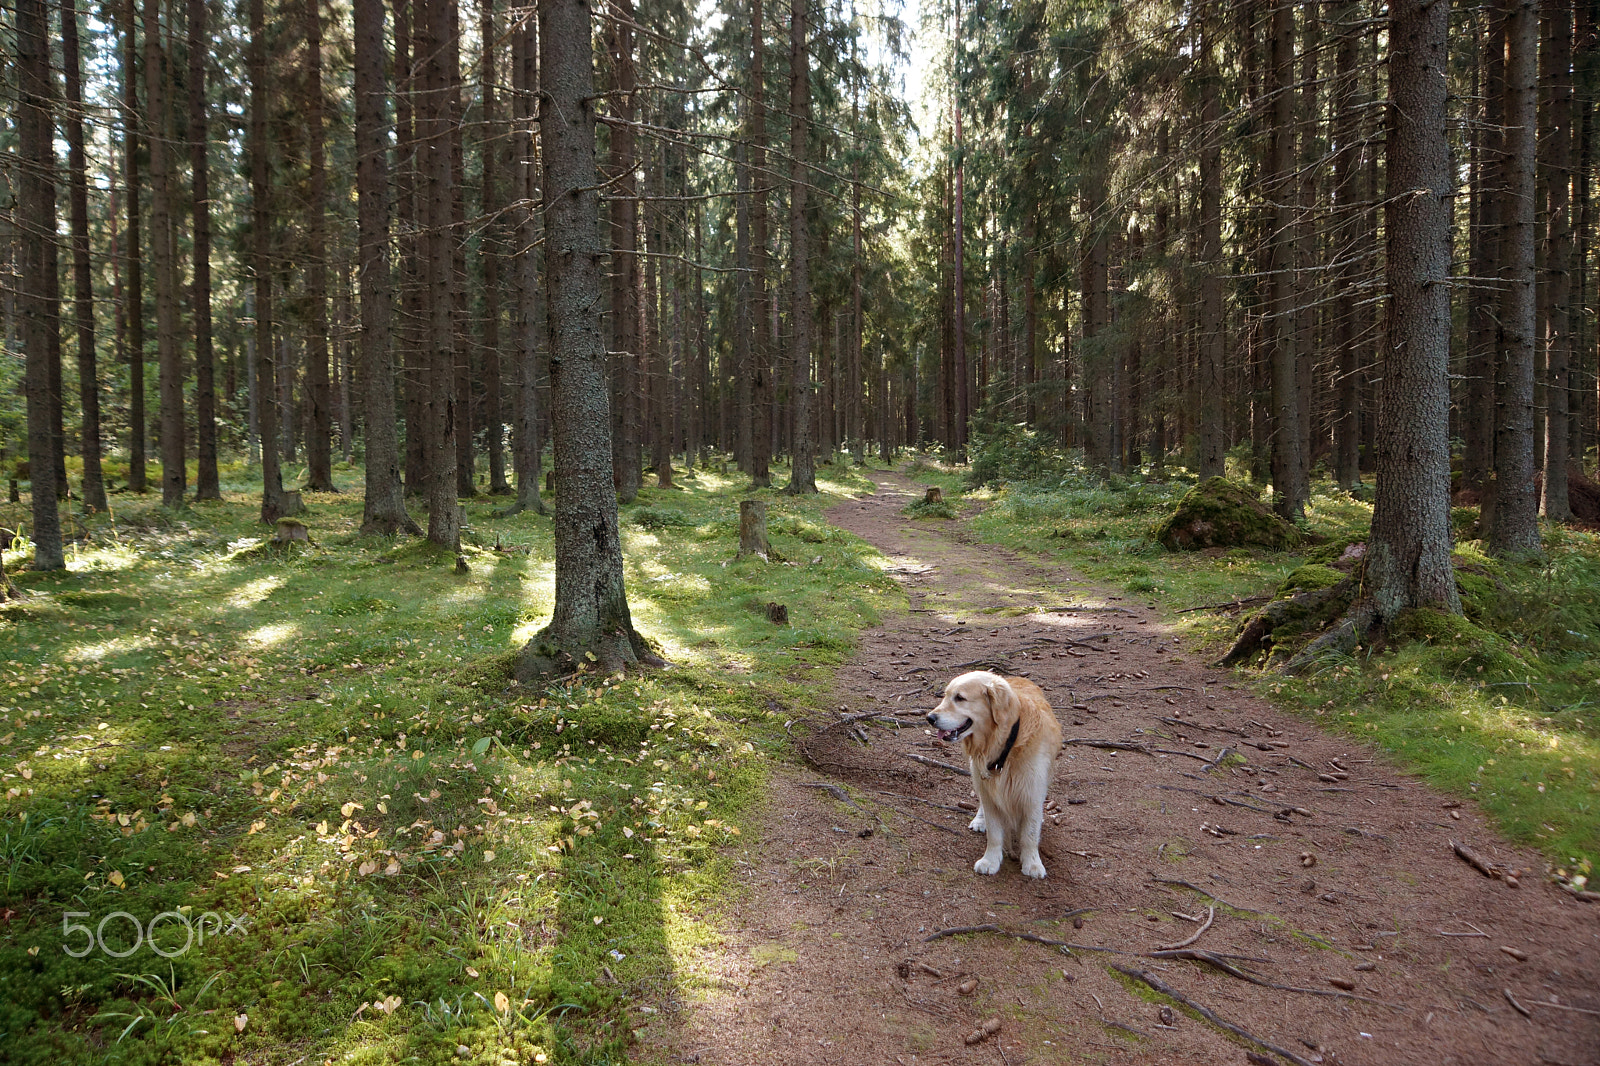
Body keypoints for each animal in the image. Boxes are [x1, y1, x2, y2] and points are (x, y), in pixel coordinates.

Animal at [928, 669, 1062, 877]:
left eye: (959, 698)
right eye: (945, 696)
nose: (929, 718)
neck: (1006, 743)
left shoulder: (1032, 791)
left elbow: (1029, 834)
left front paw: (1032, 864)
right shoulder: (989, 789)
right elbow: (994, 833)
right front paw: (990, 860)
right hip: (977, 774)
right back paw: (979, 820)